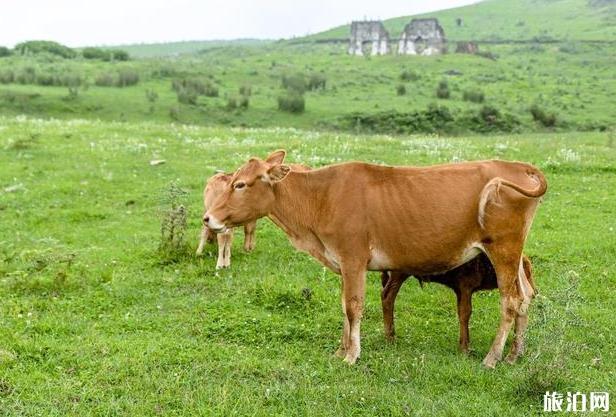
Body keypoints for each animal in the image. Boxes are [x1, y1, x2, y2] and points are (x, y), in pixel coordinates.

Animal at [380, 252, 536, 356]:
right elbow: (465, 313)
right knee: (387, 297)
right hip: (398, 273)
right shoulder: (465, 286)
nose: (535, 292)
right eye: (528, 273)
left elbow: (462, 312)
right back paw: (390, 338)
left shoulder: (461, 290)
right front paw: (465, 348)